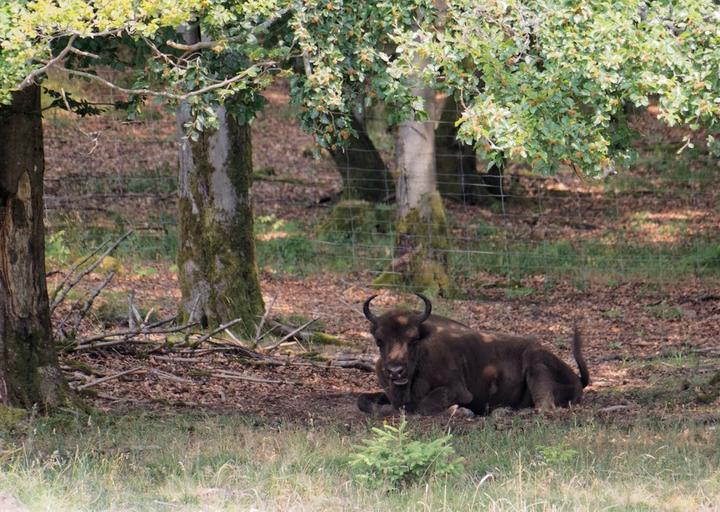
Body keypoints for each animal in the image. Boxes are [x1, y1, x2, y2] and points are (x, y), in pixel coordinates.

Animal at [358, 294, 588, 418]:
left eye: (413, 339)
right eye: (379, 340)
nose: (396, 371)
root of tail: (577, 379)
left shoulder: (459, 390)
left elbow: (424, 405)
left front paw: (460, 411)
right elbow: (363, 401)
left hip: (535, 363)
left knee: (544, 407)